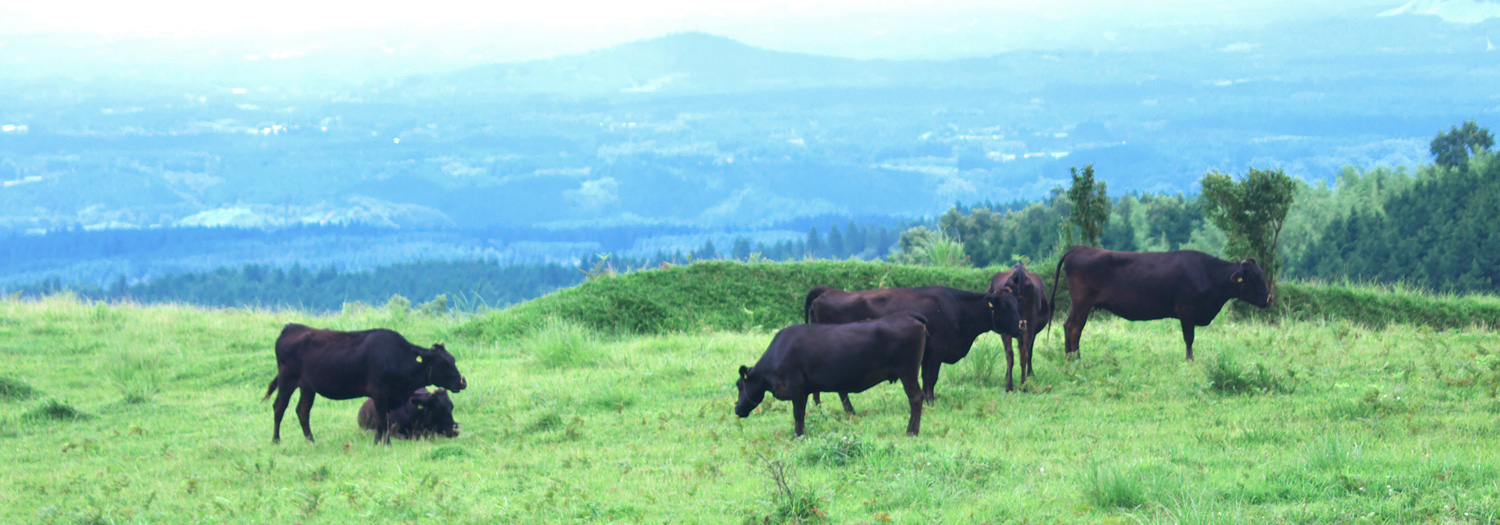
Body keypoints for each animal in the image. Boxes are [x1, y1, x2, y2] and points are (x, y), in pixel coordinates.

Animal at [262, 324, 462, 444]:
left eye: (452, 359)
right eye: (444, 363)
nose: (463, 381)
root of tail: (292, 327)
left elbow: (383, 420)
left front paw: (378, 441)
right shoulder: (379, 393)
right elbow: (382, 419)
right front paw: (385, 443)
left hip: (307, 386)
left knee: (303, 410)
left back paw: (311, 440)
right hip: (287, 380)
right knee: (279, 407)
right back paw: (276, 440)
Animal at [735, 309, 930, 438]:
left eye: (739, 385)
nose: (737, 409)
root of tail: (908, 316)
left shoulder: (796, 385)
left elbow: (798, 413)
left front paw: (799, 436)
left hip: (908, 372)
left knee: (915, 397)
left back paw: (911, 431)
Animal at [804, 285, 1026, 408]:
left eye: (1017, 304)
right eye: (1005, 306)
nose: (1021, 326)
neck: (958, 308)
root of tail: (826, 291)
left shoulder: (927, 354)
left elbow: (926, 378)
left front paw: (929, 399)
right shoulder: (937, 350)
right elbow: (931, 377)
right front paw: (930, 402)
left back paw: (818, 405)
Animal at [990, 261, 1050, 390]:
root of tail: (1019, 273)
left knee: (1012, 353)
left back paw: (1011, 385)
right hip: (1027, 325)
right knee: (1022, 353)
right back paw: (1022, 385)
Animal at [1050, 246, 1272, 361]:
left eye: (1262, 274)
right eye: (1254, 277)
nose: (1269, 299)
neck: (1208, 274)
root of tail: (1080, 248)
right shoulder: (1186, 311)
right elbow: (1189, 338)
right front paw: (1189, 360)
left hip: (1078, 304)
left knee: (1068, 326)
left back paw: (1069, 357)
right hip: (1082, 303)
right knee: (1074, 327)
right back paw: (1076, 358)